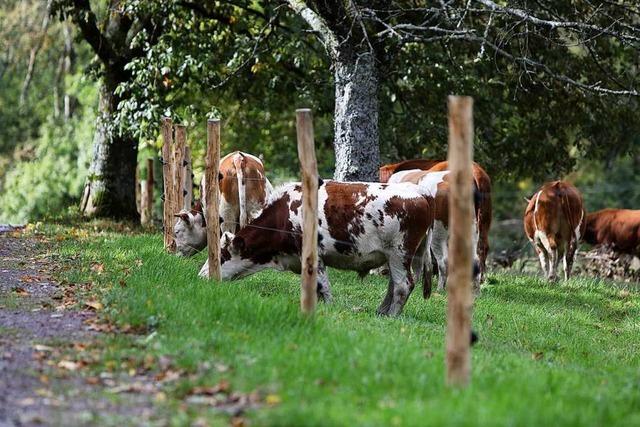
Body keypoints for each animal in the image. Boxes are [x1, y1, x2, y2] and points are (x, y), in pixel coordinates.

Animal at [200, 181, 438, 318]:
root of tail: (420, 192)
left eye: (221, 255)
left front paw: (328, 308)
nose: (202, 275)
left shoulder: (314, 255)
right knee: (395, 284)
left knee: (403, 284)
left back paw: (392, 315)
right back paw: (381, 311)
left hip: (399, 252)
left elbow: (322, 285)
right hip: (402, 255)